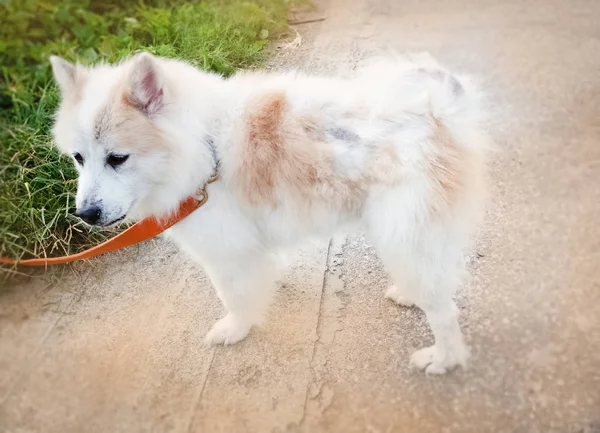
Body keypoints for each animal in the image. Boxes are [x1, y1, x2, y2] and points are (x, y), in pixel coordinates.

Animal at [48, 50, 488, 372]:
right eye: (79, 158)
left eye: (117, 158)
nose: (86, 213)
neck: (204, 147)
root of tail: (435, 113)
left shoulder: (228, 253)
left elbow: (234, 297)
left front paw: (235, 329)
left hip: (404, 237)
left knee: (444, 311)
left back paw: (443, 359)